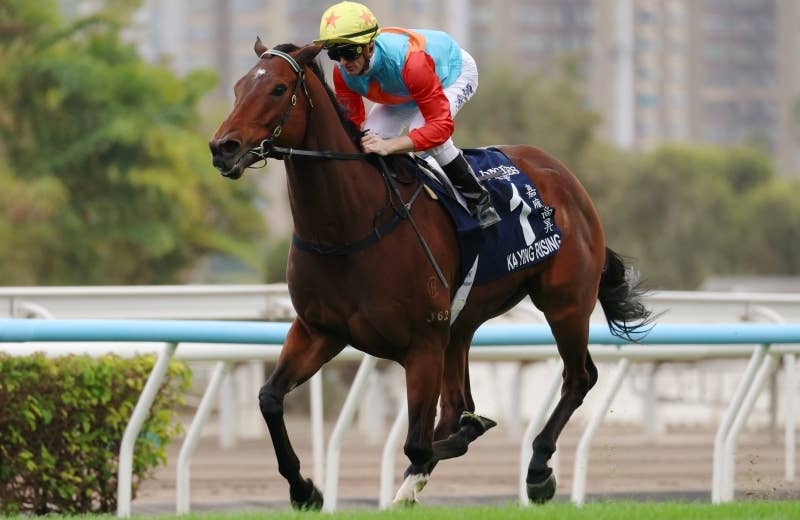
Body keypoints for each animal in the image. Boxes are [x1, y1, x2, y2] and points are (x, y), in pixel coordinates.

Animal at [209, 39, 652, 509]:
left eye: (278, 89)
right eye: (238, 87)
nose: (223, 147)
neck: (351, 227)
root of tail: (564, 176)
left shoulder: (422, 344)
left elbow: (420, 443)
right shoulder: (319, 331)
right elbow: (270, 399)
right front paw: (304, 488)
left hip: (564, 304)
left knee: (578, 377)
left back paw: (536, 470)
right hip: (461, 326)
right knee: (460, 403)